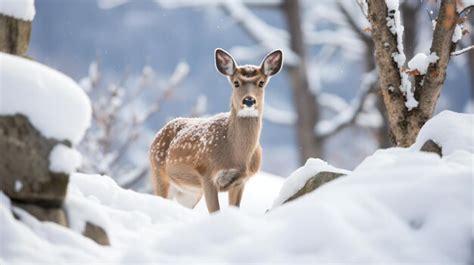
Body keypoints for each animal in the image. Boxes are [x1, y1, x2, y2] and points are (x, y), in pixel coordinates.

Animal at [149, 48, 282, 212]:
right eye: (236, 83)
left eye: (261, 83)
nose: (249, 100)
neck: (237, 157)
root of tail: (158, 133)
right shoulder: (207, 173)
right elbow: (214, 211)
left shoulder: (241, 181)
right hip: (158, 172)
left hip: (189, 192)